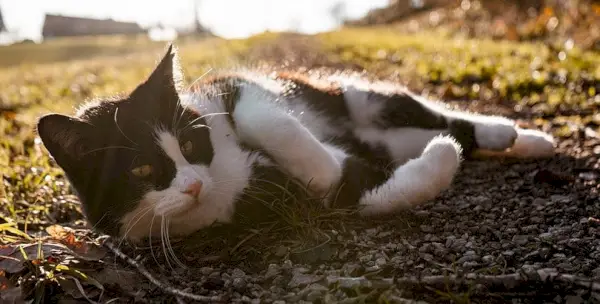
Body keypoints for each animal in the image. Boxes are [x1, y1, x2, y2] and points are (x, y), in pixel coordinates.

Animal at [36, 44, 552, 242]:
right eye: (141, 171)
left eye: (189, 142)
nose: (193, 185)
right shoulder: (274, 201)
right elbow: (363, 195)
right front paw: (440, 157)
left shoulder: (233, 88)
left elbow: (259, 114)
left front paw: (321, 166)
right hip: (384, 137)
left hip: (353, 94)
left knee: (432, 112)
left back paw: (519, 135)